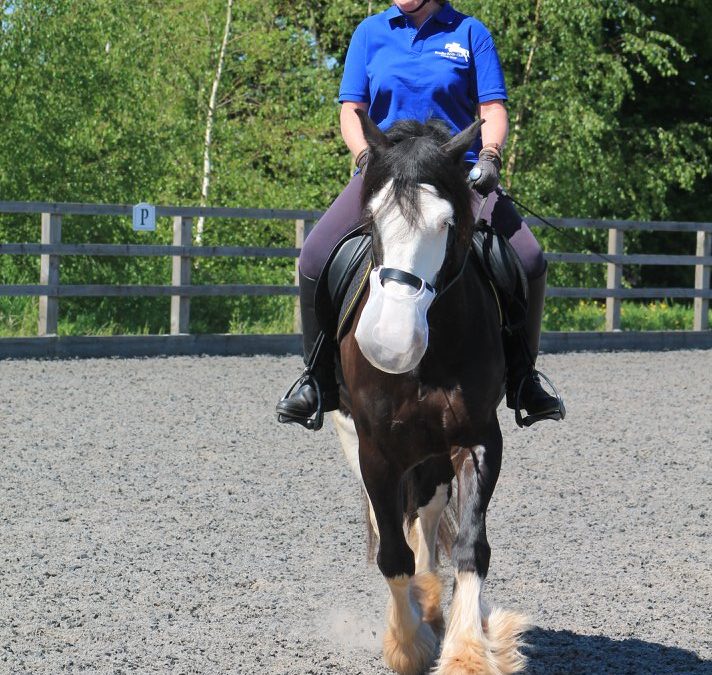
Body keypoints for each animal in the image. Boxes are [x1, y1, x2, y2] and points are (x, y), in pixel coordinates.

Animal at [331, 110, 529, 675]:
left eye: (445, 223)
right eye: (372, 221)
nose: (390, 342)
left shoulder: (479, 440)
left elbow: (470, 547)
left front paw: (466, 652)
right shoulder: (375, 451)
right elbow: (391, 554)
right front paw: (406, 644)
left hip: (435, 451)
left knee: (430, 511)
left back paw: (434, 604)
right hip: (357, 441)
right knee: (394, 522)